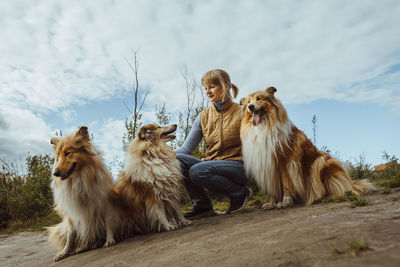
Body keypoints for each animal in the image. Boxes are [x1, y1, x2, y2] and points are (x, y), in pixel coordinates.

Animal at [47, 127, 119, 262]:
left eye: (67, 153)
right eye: (58, 157)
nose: (56, 173)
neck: (78, 177)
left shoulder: (105, 203)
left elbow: (108, 222)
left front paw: (110, 240)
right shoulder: (71, 213)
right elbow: (70, 236)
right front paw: (63, 253)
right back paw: (79, 248)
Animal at [239, 87, 374, 210]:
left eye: (259, 99)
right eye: (248, 102)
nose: (250, 107)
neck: (263, 126)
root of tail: (351, 183)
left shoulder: (284, 161)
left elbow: (286, 183)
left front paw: (285, 202)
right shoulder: (268, 166)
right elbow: (273, 188)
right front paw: (271, 203)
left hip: (321, 162)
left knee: (340, 188)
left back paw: (324, 196)